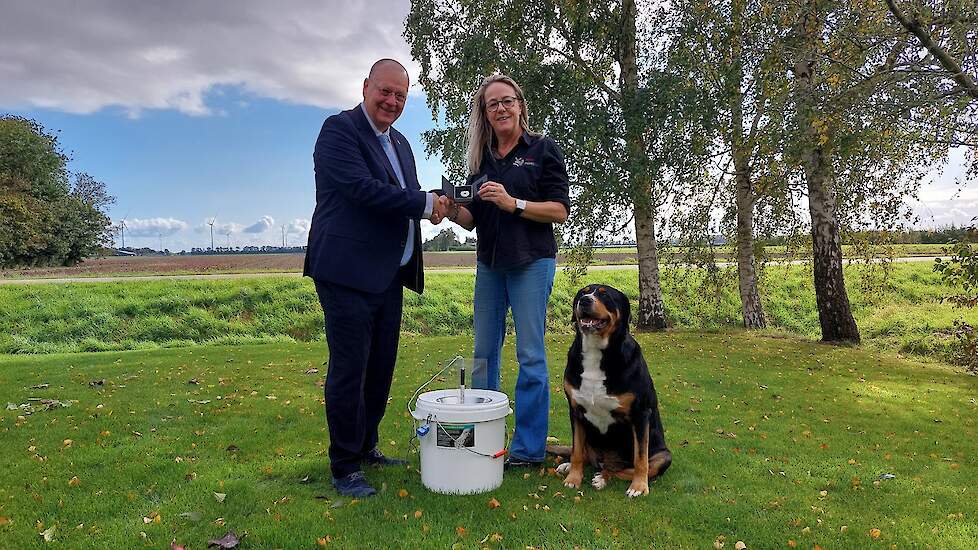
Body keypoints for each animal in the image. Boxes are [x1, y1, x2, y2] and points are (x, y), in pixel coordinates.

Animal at [548, 286, 672, 498]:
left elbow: (640, 459)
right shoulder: (576, 412)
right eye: (583, 292)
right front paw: (573, 478)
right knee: (585, 455)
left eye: (605, 294)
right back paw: (569, 466)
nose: (584, 300)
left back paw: (603, 477)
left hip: (664, 455)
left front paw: (639, 486)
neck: (595, 353)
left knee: (625, 469)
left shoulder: (640, 414)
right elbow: (577, 451)